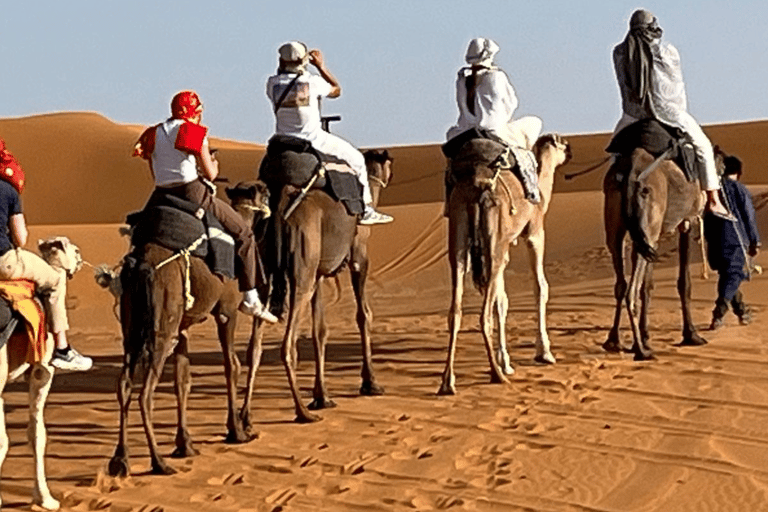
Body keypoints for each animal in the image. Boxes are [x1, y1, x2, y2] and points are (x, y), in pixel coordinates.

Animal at [106, 187, 271, 478]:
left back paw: (120, 460)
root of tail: (142, 265)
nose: (271, 194)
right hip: (161, 329)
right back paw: (158, 462)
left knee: (124, 384)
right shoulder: (227, 311)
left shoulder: (182, 327)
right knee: (145, 393)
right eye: (263, 193)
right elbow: (232, 365)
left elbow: (183, 379)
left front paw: (185, 445)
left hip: (132, 328)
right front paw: (237, 431)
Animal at [236, 150, 392, 425]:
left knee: (254, 345)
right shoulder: (359, 255)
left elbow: (320, 330)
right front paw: (370, 383)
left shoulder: (318, 273)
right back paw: (302, 412)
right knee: (288, 344)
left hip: (267, 267)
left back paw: (245, 419)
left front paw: (322, 396)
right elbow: (364, 315)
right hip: (301, 272)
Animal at [438, 134, 572, 395]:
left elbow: (502, 301)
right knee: (483, 314)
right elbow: (540, 287)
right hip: (493, 238)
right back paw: (495, 374)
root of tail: (477, 185)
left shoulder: (505, 246)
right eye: (561, 142)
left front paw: (506, 362)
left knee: (456, 309)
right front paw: (544, 352)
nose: (570, 150)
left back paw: (448, 382)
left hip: (460, 231)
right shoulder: (535, 232)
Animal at [602, 147, 728, 357]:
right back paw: (641, 351)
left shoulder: (652, 236)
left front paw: (646, 335)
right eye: (724, 167)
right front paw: (691, 335)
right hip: (648, 221)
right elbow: (684, 283)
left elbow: (647, 286)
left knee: (620, 282)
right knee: (630, 291)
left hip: (621, 223)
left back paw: (614, 341)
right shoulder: (687, 221)